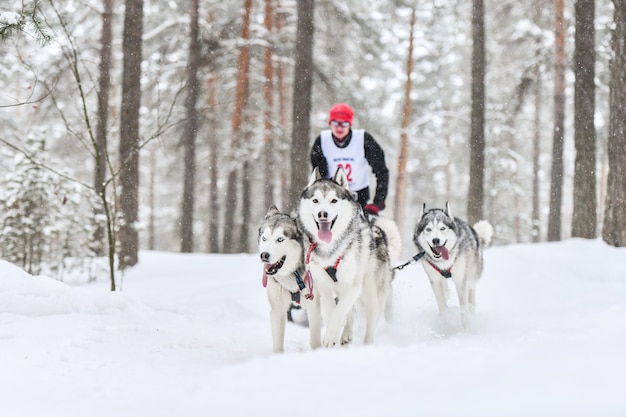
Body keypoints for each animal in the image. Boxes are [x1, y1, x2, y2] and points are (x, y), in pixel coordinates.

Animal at [256, 205, 320, 352]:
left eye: (280, 239)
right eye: (264, 238)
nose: (264, 255)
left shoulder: (314, 307)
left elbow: (315, 342)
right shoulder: (278, 310)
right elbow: (278, 345)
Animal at [296, 166, 400, 344]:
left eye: (334, 201)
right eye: (315, 201)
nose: (322, 214)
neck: (330, 250)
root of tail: (379, 232)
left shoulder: (352, 286)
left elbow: (340, 310)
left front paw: (330, 336)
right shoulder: (322, 284)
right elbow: (331, 309)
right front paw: (338, 327)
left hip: (371, 290)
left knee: (371, 318)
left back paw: (367, 342)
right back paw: (347, 333)